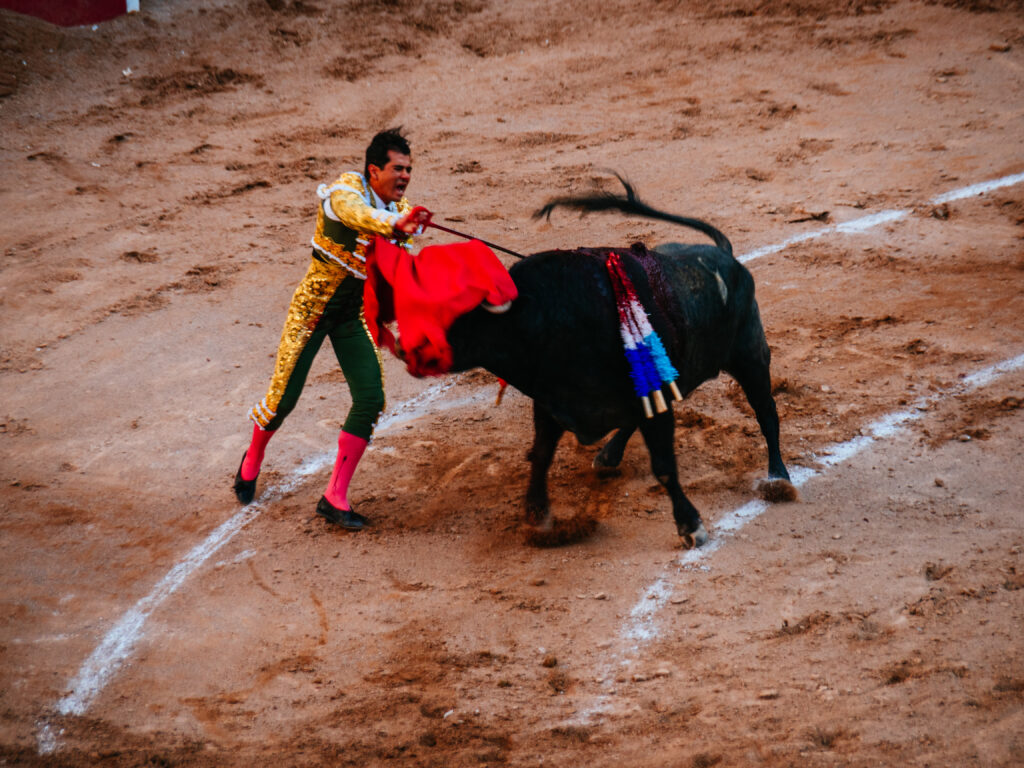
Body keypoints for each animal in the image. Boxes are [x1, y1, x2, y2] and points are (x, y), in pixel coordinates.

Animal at [444, 180, 794, 548]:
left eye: (462, 319)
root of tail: (727, 256)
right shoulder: (552, 401)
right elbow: (540, 455)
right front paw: (538, 517)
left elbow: (663, 464)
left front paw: (691, 526)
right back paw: (608, 457)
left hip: (750, 356)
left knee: (766, 411)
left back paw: (779, 478)